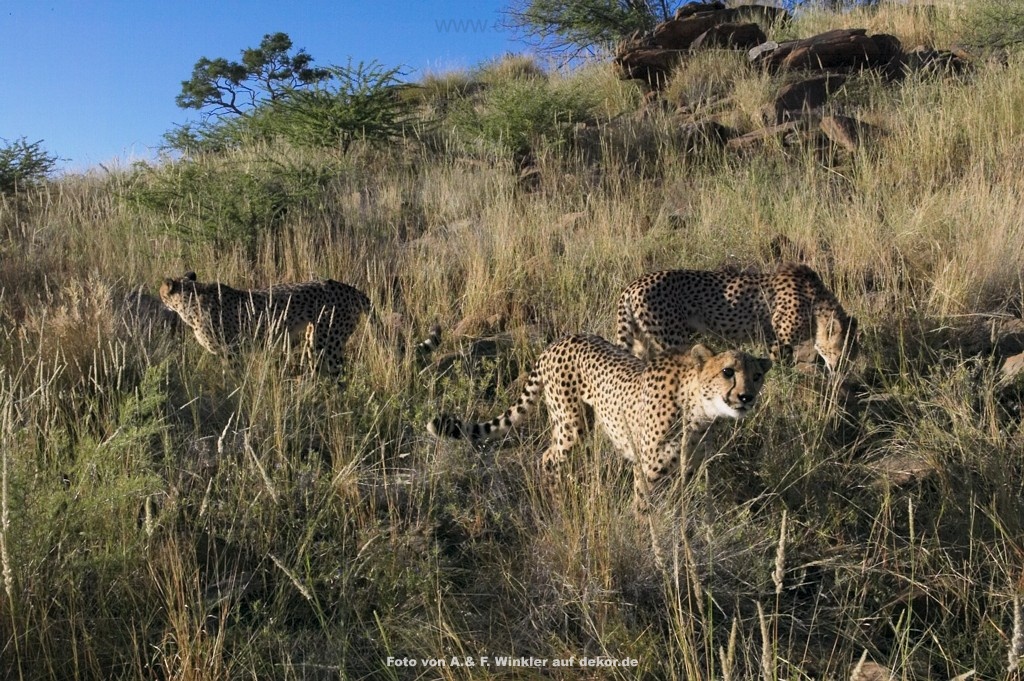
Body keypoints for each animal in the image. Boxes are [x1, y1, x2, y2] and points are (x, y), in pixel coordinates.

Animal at [159, 271, 440, 376]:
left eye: (162, 294)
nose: (161, 301)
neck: (193, 296)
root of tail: (347, 287)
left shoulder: (232, 351)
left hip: (326, 344)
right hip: (312, 339)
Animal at [428, 334, 772, 515]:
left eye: (757, 376)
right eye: (728, 372)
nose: (747, 397)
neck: (698, 411)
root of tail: (559, 341)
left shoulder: (686, 472)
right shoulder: (647, 470)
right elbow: (643, 508)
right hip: (572, 424)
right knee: (548, 458)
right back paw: (558, 505)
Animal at [616, 263, 857, 371]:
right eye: (840, 351)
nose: (840, 369)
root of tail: (632, 286)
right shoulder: (776, 338)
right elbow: (780, 364)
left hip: (641, 343)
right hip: (671, 339)